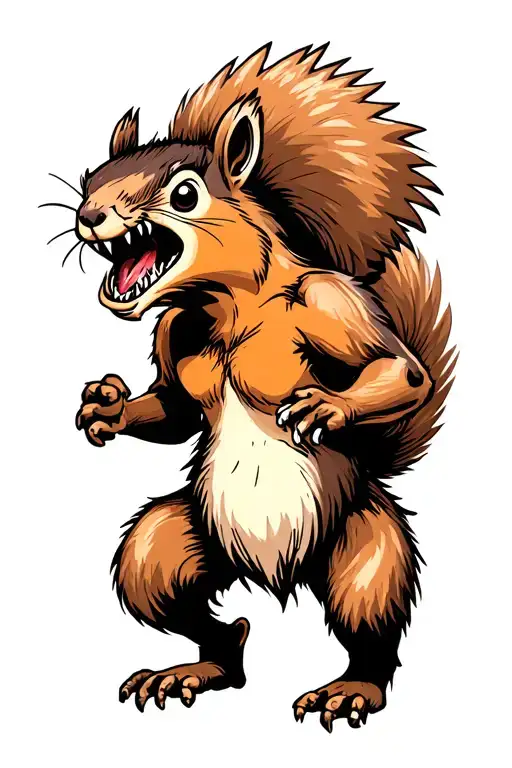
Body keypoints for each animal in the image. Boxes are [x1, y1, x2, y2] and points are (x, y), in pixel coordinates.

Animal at [64, 44, 455, 731]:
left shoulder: (329, 300)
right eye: (91, 179)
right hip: (174, 546)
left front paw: (326, 405)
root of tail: (278, 577)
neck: (229, 306)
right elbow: (174, 410)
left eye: (184, 194)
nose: (89, 217)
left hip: (362, 549)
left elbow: (400, 371)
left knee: (370, 624)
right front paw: (107, 407)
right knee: (181, 599)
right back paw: (202, 667)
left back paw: (352, 689)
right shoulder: (172, 329)